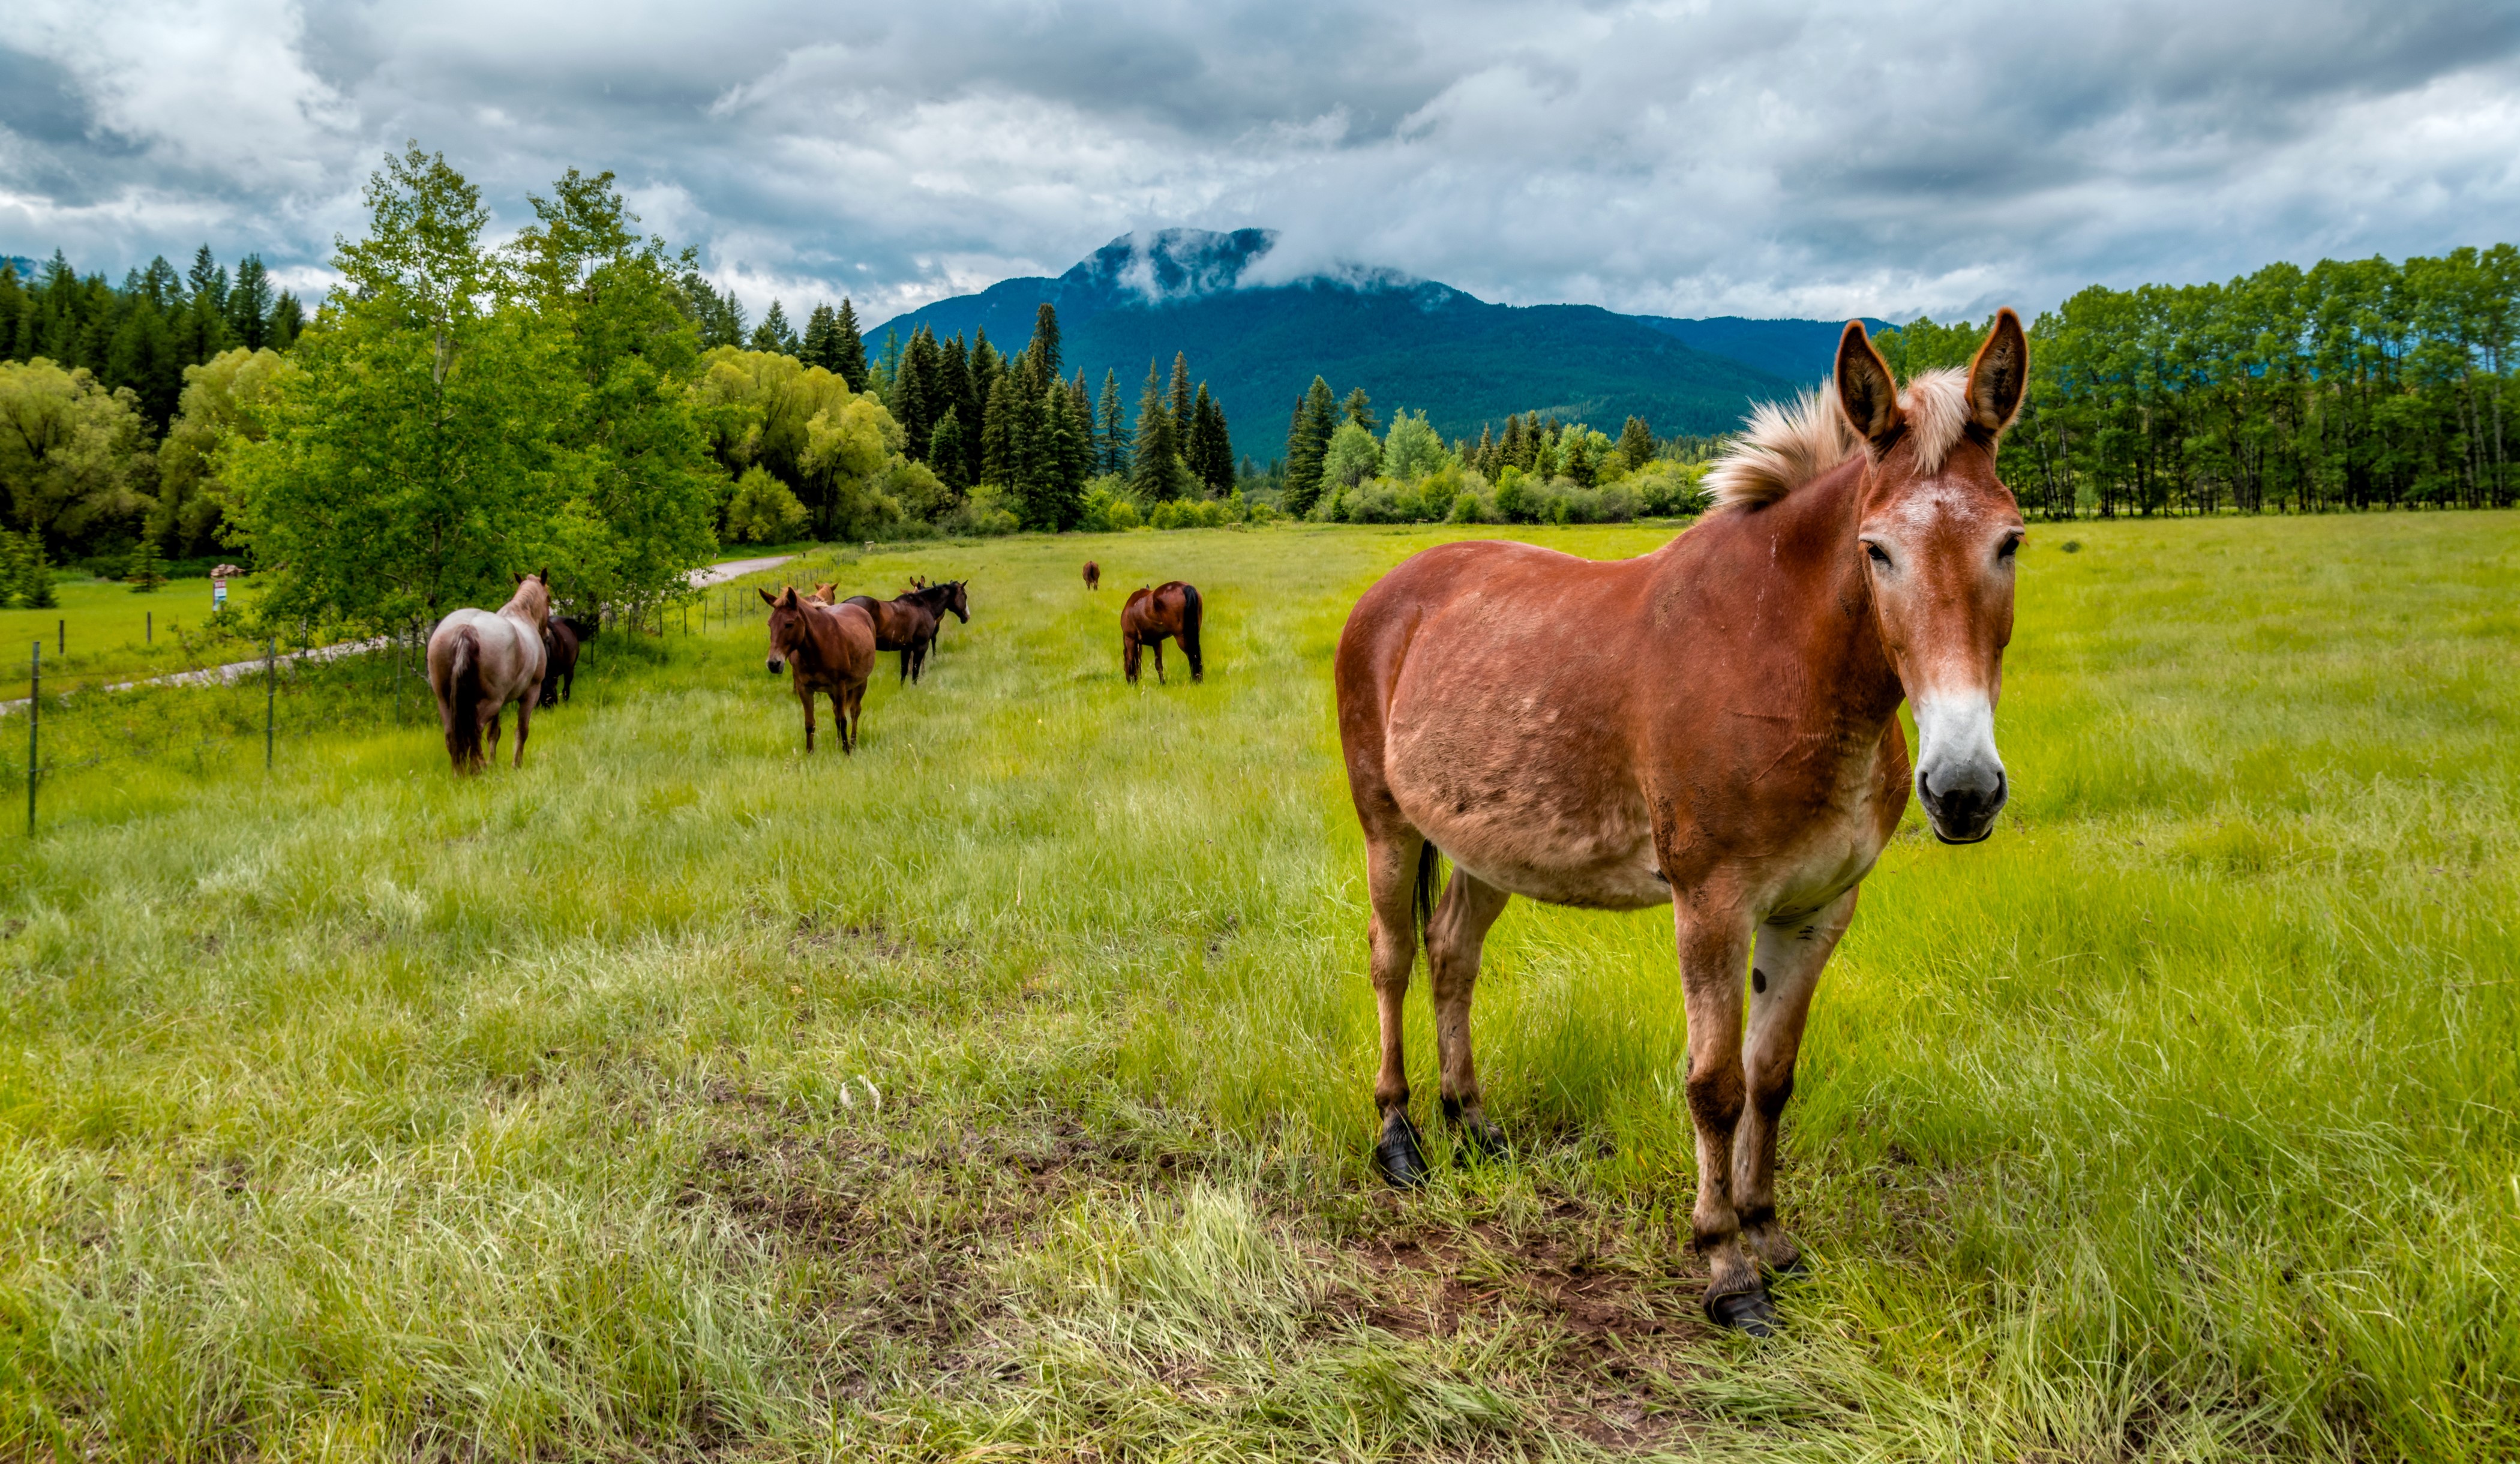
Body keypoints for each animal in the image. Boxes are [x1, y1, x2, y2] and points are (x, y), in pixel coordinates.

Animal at [427, 570, 554, 772]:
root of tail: (467, 629)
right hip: (491, 701)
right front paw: (516, 764)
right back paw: (479, 769)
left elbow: (494, 732)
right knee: (474, 731)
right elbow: (522, 730)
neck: (522, 615)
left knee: (453, 735)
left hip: (446, 702)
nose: (548, 634)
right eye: (548, 598)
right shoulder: (531, 694)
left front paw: (493, 762)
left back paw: (460, 771)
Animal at [760, 586, 875, 753]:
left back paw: (853, 743)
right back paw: (838, 742)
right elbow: (810, 723)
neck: (817, 649)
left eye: (789, 624)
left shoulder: (839, 686)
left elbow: (843, 720)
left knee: (855, 711)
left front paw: (847, 751)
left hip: (861, 682)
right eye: (770, 624)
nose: (774, 664)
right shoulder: (805, 689)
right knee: (836, 711)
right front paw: (810, 753)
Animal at [1121, 581, 1204, 685]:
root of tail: (1185, 587)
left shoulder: (1130, 639)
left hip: (1182, 638)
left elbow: (1131, 662)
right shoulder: (1157, 642)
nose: (1129, 681)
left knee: (1192, 657)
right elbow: (1158, 665)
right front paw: (1163, 683)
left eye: (1124, 669)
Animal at [1333, 313, 2029, 1336]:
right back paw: (1400, 1138)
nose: (1965, 788)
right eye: (1877, 551)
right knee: (1392, 960)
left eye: (2010, 542)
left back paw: (1473, 1124)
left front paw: (1769, 1233)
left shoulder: (1818, 910)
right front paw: (1725, 1266)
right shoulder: (1712, 906)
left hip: (1484, 845)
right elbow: (1715, 1086)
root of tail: (1395, 590)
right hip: (1389, 826)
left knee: (1453, 955)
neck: (1783, 664)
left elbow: (1772, 1076)